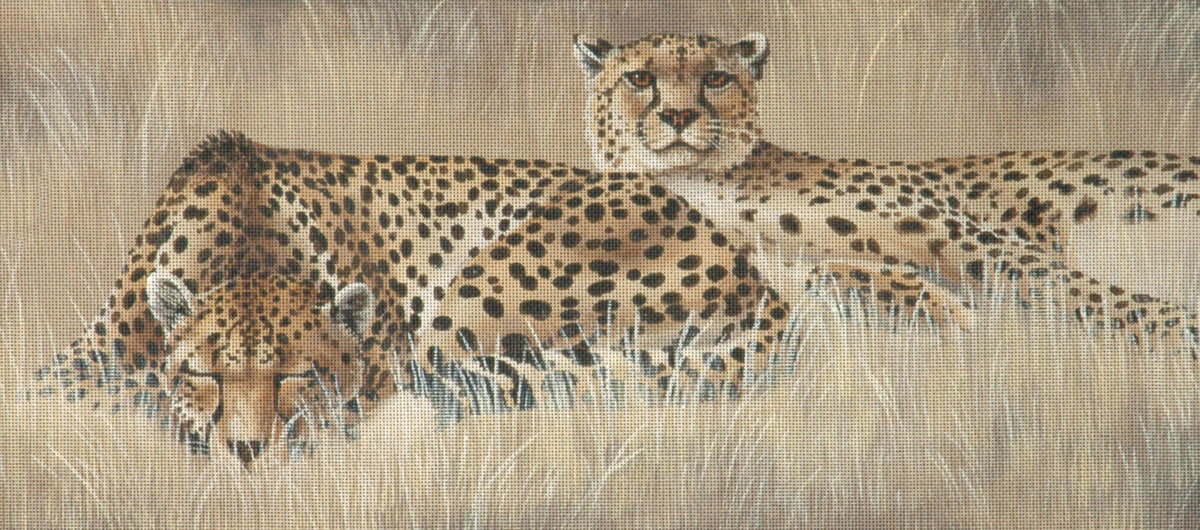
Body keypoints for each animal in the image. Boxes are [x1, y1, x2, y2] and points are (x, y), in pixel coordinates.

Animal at [570, 31, 1200, 350]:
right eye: (639, 78)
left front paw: (1180, 330)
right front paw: (933, 305)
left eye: (716, 78)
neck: (701, 180)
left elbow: (1079, 288)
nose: (678, 116)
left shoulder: (976, 240)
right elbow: (822, 276)